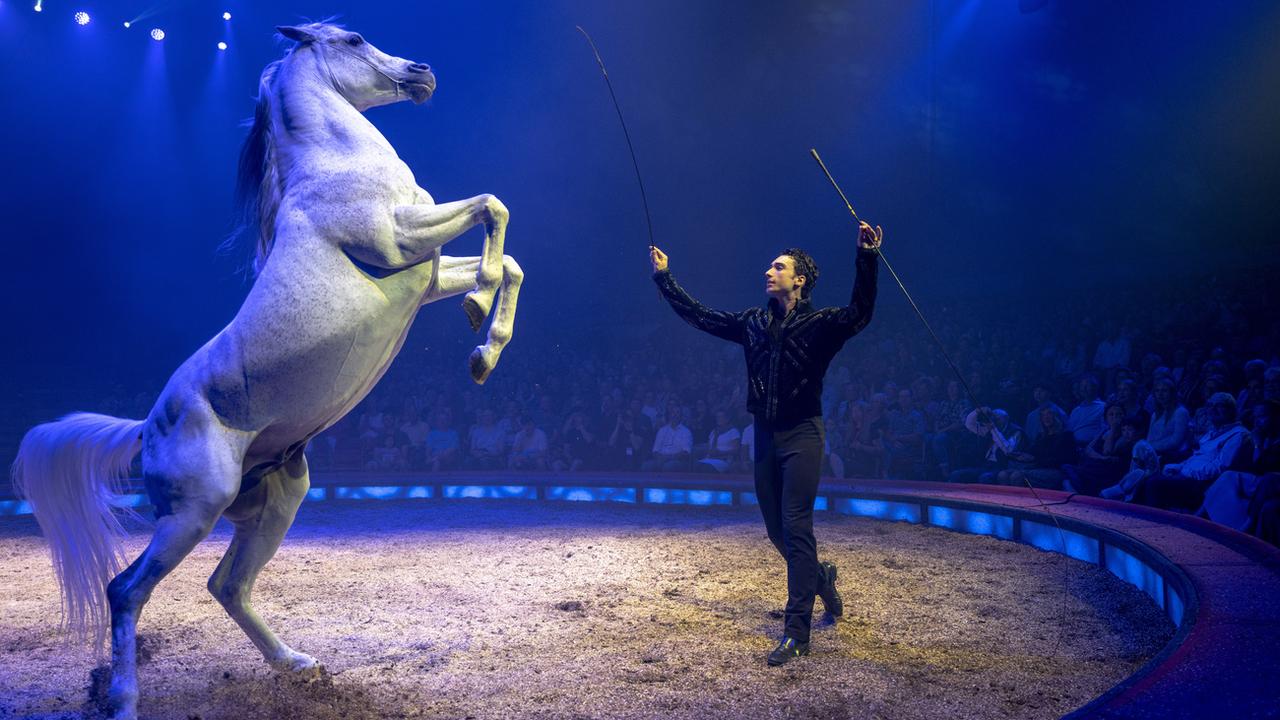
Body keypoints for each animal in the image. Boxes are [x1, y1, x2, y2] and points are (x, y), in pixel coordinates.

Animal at [10, 22, 519, 717]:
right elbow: (493, 207)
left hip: (278, 499)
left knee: (226, 585)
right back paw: (124, 700)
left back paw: (298, 665)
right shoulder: (401, 238)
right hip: (193, 512)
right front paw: (477, 309)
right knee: (126, 590)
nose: (423, 72)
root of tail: (147, 425)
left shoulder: (424, 272)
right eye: (353, 39)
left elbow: (509, 257)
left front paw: (483, 349)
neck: (335, 166)